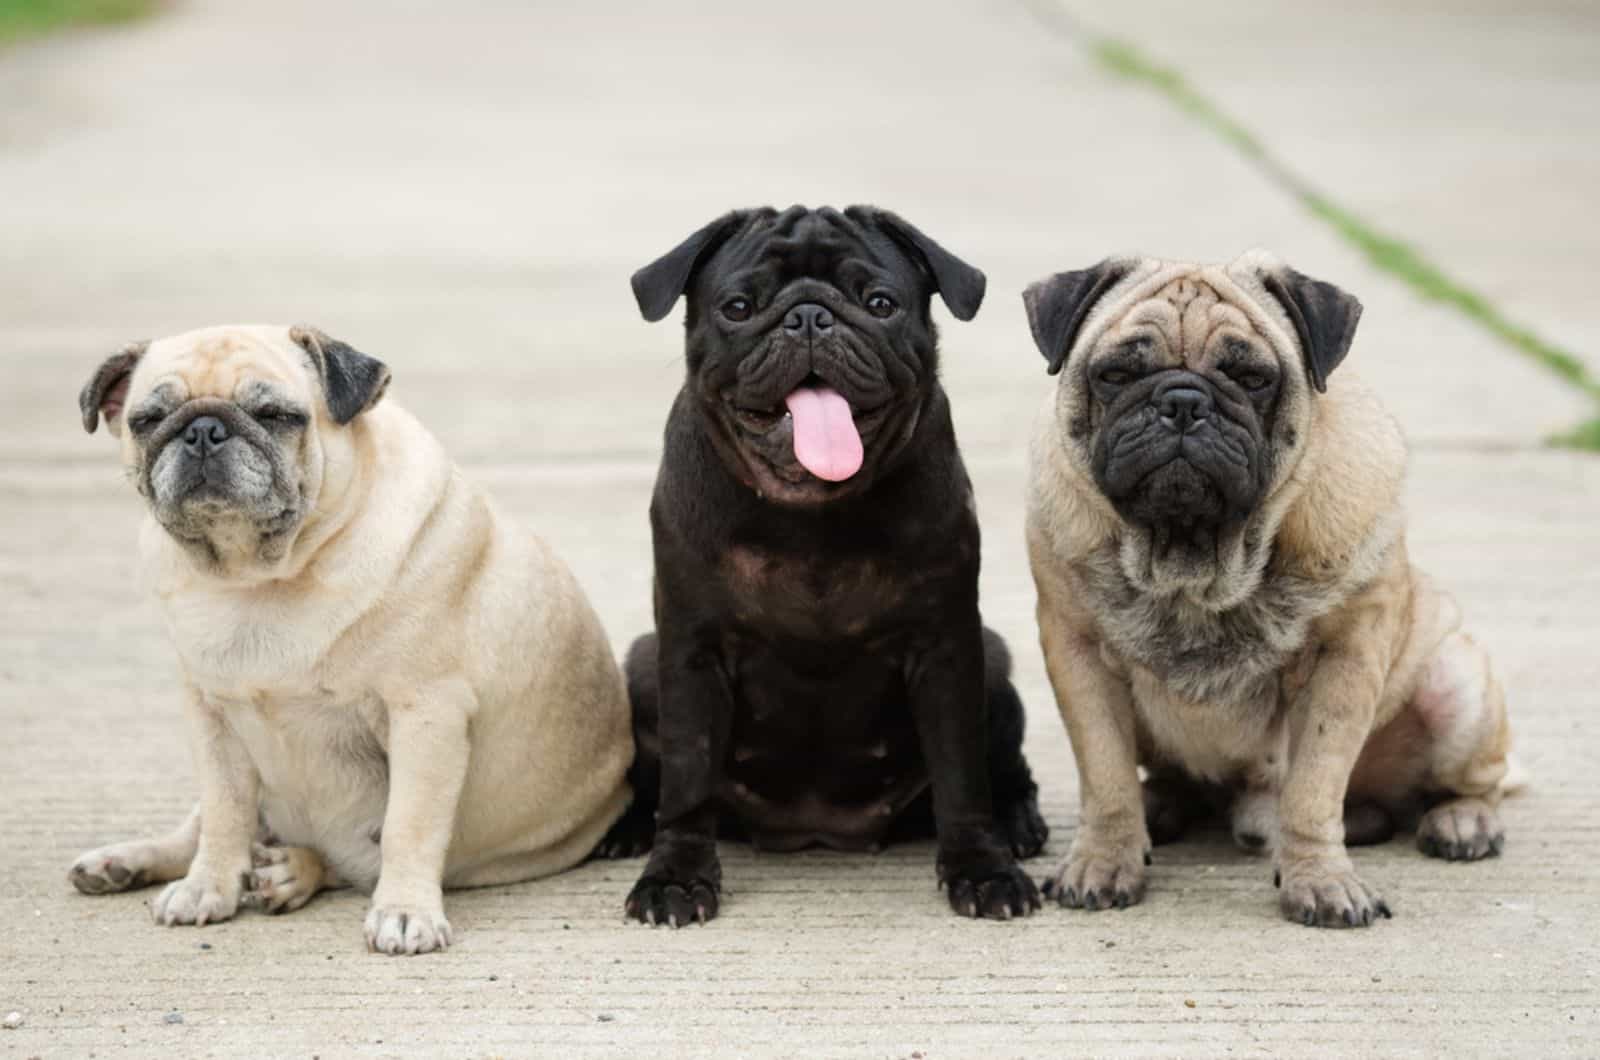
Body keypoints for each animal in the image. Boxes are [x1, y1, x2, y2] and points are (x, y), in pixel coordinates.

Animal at [68, 323, 633, 954]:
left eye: (276, 414)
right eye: (148, 419)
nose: (202, 431)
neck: (257, 579)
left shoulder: (425, 713)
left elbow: (410, 825)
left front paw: (406, 912)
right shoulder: (209, 716)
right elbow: (223, 812)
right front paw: (207, 886)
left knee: (347, 862)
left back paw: (291, 871)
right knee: (201, 828)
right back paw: (126, 862)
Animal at [601, 204, 1049, 922]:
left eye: (880, 303)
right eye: (738, 306)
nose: (809, 315)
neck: (810, 512)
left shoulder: (947, 648)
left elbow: (961, 776)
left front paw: (983, 869)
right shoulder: (691, 651)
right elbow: (688, 778)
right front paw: (674, 877)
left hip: (995, 660)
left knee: (1002, 767)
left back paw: (1016, 820)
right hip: (643, 665)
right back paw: (627, 826)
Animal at [1024, 256, 1510, 928]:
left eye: (1252, 378)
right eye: (1116, 374)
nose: (1183, 400)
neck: (1194, 561)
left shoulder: (1345, 662)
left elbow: (1313, 789)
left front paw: (1321, 881)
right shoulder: (1079, 658)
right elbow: (1106, 776)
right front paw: (1104, 859)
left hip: (1456, 685)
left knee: (1476, 781)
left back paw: (1463, 821)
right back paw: (1165, 806)